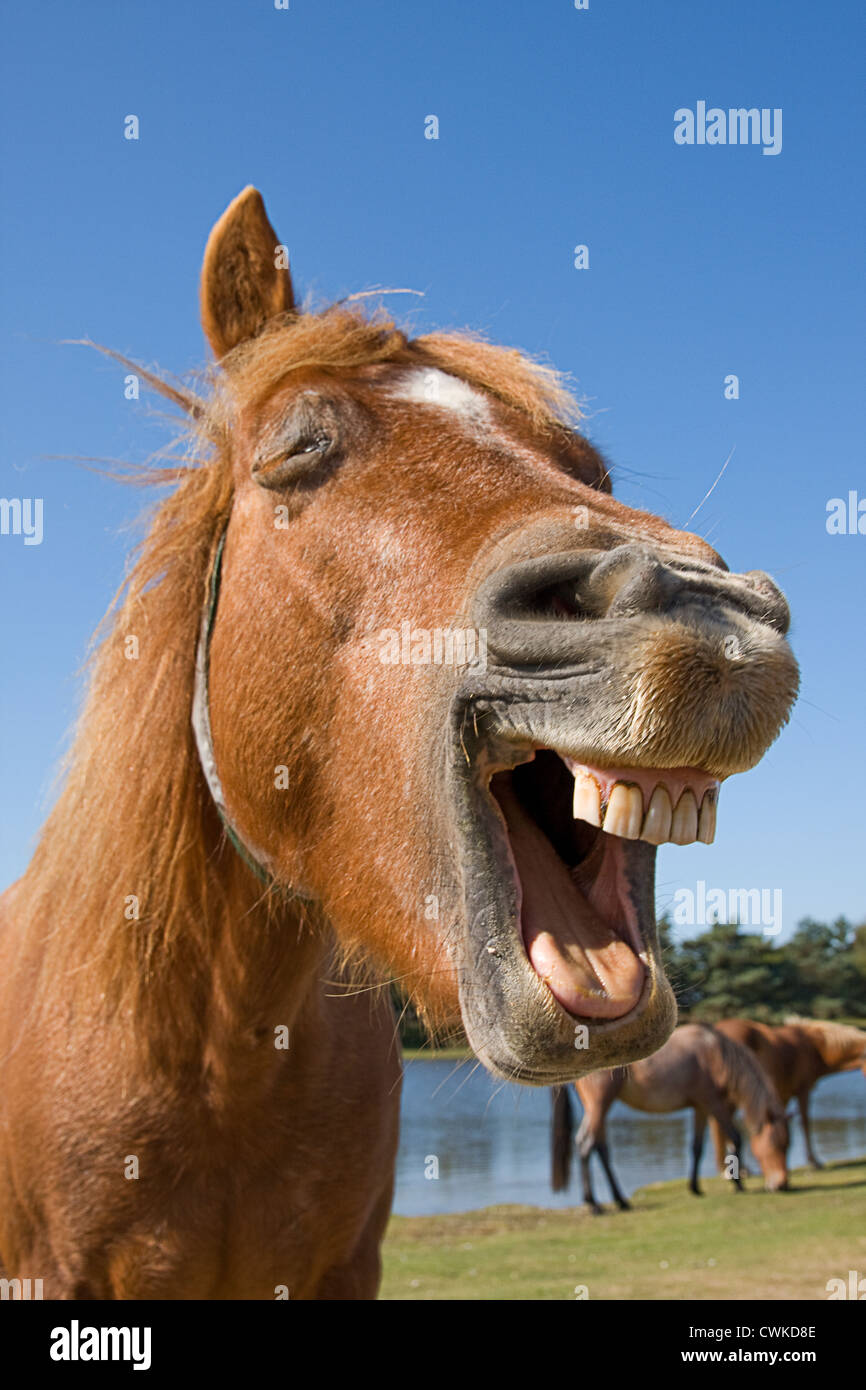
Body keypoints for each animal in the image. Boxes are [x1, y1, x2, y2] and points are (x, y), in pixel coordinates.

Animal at [551, 1023, 790, 1210]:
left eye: (788, 1145)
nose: (782, 1185)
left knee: (600, 1149)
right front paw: (738, 1184)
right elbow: (736, 1138)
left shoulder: (700, 1107)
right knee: (585, 1145)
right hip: (599, 1105)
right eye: (775, 1144)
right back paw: (594, 1205)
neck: (715, 1053)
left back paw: (621, 1201)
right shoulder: (714, 1103)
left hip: (597, 1108)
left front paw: (695, 1188)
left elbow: (697, 1147)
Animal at [710, 1017, 866, 1172]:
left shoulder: (782, 1095)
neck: (815, 1048)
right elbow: (805, 1122)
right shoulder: (803, 1090)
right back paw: (736, 1169)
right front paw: (814, 1162)